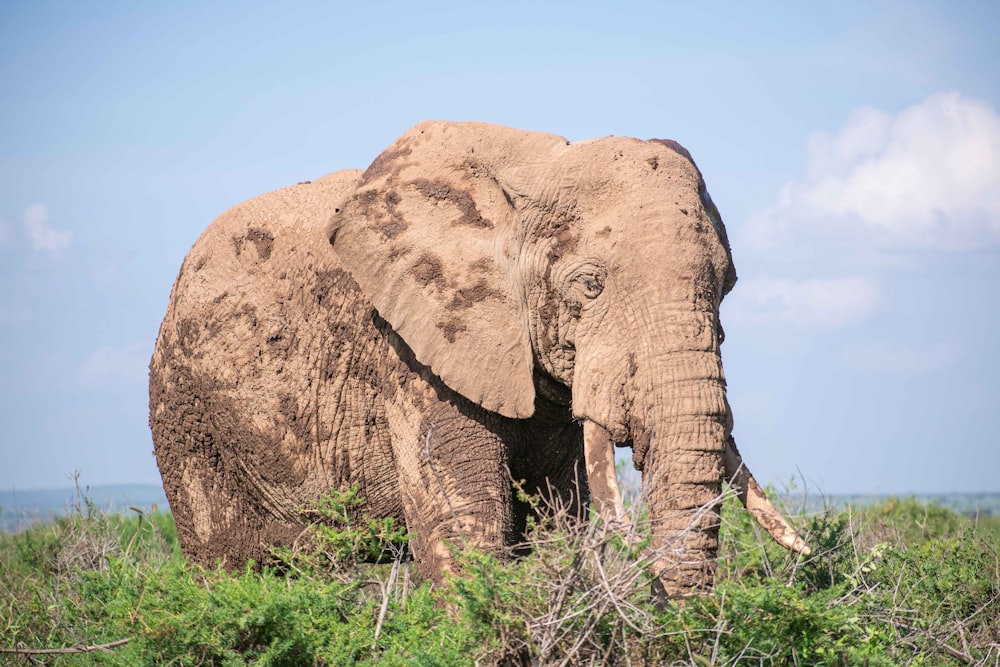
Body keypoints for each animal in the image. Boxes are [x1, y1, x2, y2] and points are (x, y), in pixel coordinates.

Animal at [148, 121, 808, 600]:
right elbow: (467, 529)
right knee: (224, 561)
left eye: (725, 288)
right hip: (187, 414)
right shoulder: (414, 346)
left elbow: (560, 520)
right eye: (589, 286)